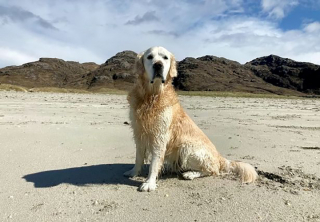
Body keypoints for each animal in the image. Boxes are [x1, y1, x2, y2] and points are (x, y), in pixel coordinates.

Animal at [123, 46, 258, 191]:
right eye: (149, 57)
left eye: (165, 58)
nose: (158, 65)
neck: (151, 95)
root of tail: (219, 157)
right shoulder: (139, 132)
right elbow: (138, 157)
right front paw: (133, 172)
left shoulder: (159, 136)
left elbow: (154, 163)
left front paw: (149, 183)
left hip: (186, 148)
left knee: (212, 170)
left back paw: (190, 174)